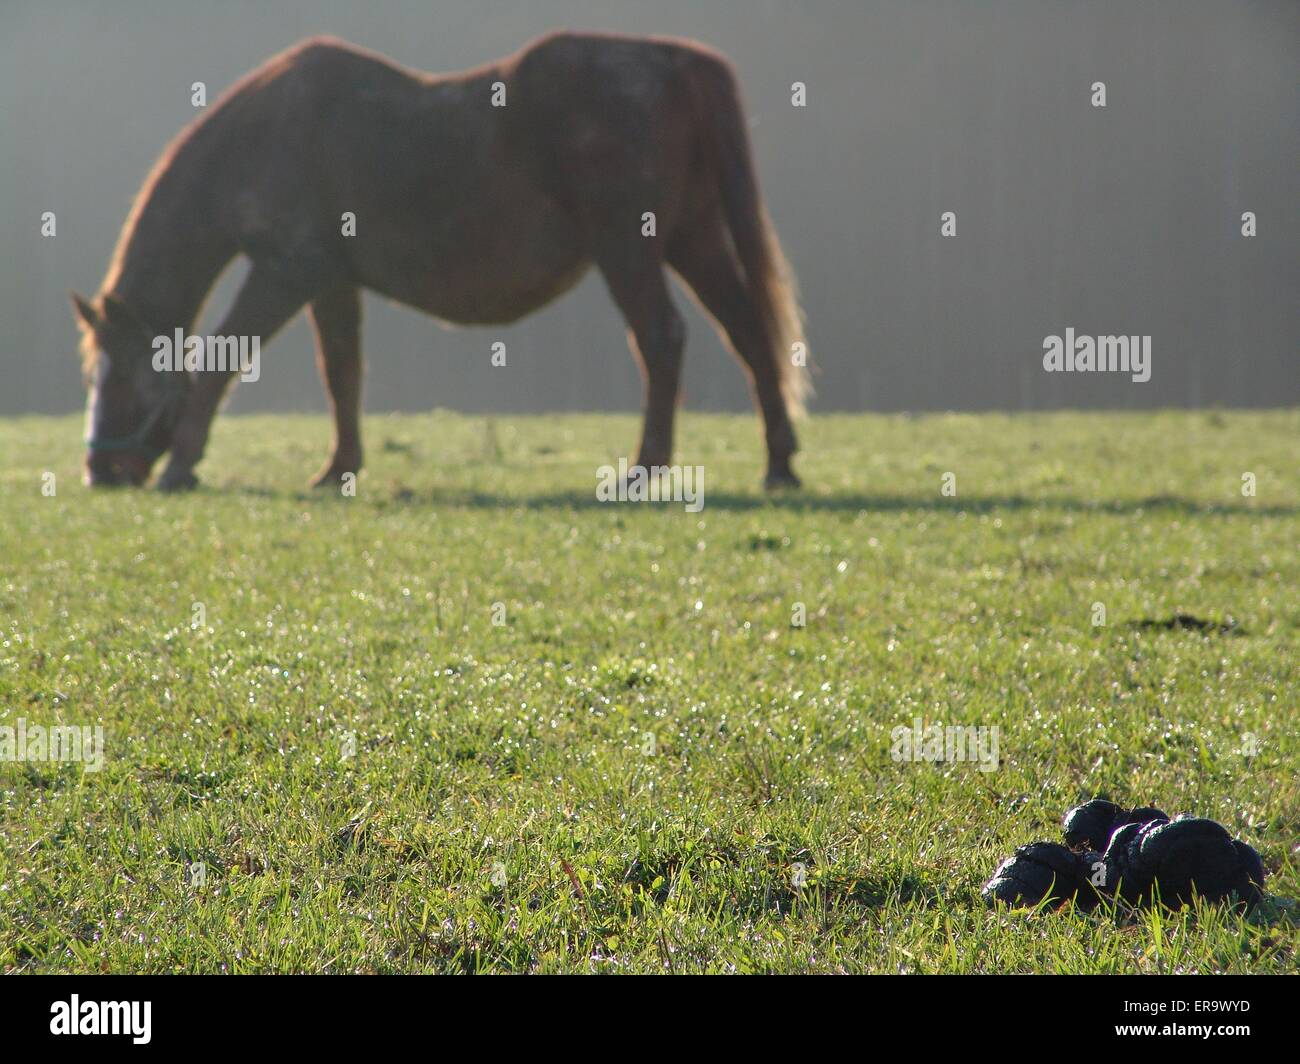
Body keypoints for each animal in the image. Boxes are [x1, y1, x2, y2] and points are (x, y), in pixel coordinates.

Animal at [71, 31, 809, 491]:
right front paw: (339, 468)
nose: (99, 473)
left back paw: (647, 467)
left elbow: (223, 358)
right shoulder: (332, 281)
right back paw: (778, 463)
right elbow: (342, 374)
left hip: (629, 247)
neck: (266, 137)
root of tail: (672, 63)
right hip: (692, 238)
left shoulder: (286, 273)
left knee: (662, 338)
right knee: (748, 332)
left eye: (119, 377)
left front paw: (182, 465)